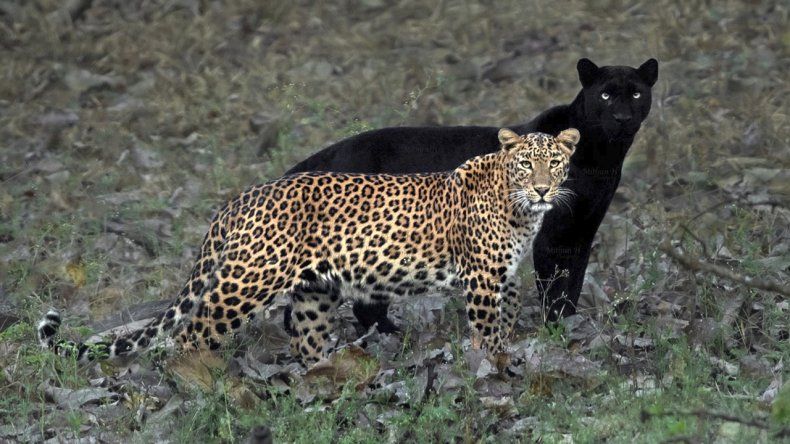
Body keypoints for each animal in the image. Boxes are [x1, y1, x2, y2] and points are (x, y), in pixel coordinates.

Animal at [37, 128, 579, 366]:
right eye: (526, 164)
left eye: (555, 163)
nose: (543, 190)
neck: (519, 208)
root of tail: (239, 199)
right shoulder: (483, 278)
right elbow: (487, 331)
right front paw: (491, 370)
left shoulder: (505, 277)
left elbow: (505, 323)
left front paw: (504, 358)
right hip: (246, 281)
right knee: (190, 335)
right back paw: (202, 382)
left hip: (314, 291)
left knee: (306, 340)